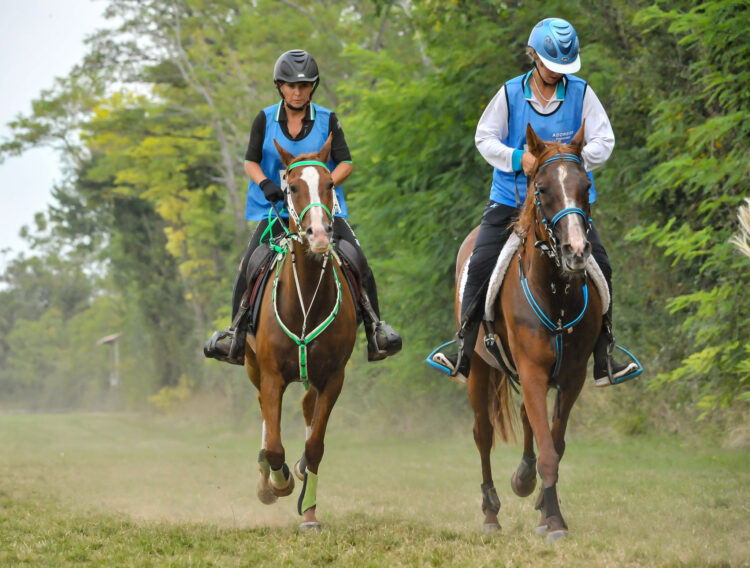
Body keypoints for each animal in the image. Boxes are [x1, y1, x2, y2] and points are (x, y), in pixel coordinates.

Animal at [242, 138, 356, 532]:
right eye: (290, 188)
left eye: (331, 184)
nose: (319, 235)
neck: (306, 297)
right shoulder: (273, 375)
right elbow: (275, 445)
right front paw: (278, 484)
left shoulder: (333, 377)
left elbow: (315, 446)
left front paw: (309, 512)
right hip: (253, 367)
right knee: (264, 414)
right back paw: (266, 477)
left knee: (308, 409)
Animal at [458, 124, 604, 540]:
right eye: (541, 188)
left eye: (585, 185)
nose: (576, 250)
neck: (555, 294)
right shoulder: (533, 371)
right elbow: (548, 449)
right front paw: (552, 521)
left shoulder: (571, 377)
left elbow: (553, 442)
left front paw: (546, 509)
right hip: (479, 369)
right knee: (483, 434)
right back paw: (491, 514)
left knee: (526, 420)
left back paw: (523, 479)